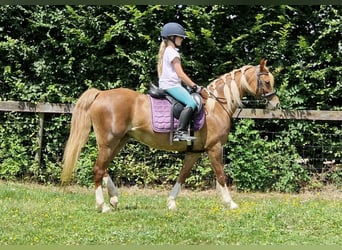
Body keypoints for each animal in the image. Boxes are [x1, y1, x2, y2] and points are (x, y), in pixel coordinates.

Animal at [62, 59, 280, 213]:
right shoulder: (214, 148)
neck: (217, 104)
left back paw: (114, 198)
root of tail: (101, 94)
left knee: (103, 168)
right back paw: (103, 205)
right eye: (266, 82)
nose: (276, 104)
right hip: (109, 142)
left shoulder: (194, 152)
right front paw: (230, 203)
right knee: (98, 169)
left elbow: (182, 175)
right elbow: (220, 175)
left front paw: (171, 202)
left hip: (118, 141)